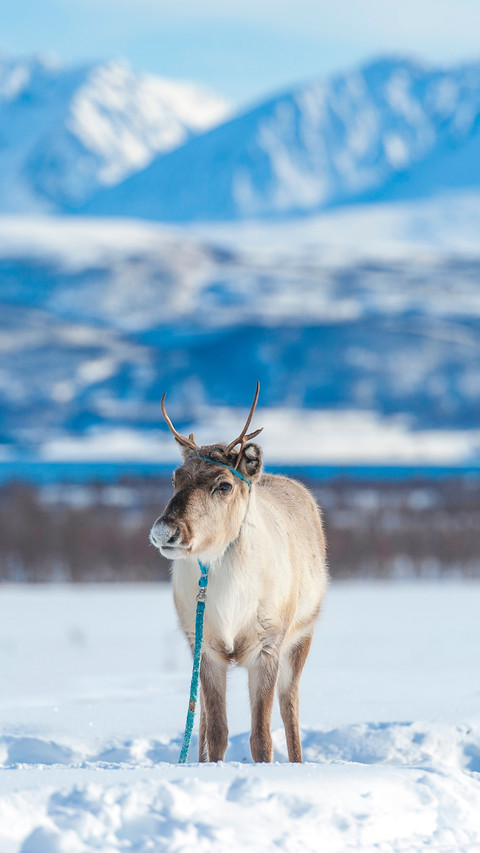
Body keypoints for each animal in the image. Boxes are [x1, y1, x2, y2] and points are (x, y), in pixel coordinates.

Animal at [149, 383, 328, 763]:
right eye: (174, 477)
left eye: (224, 485)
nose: (164, 532)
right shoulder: (205, 648)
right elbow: (216, 733)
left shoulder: (267, 647)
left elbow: (262, 738)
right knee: (200, 719)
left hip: (302, 637)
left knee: (290, 706)